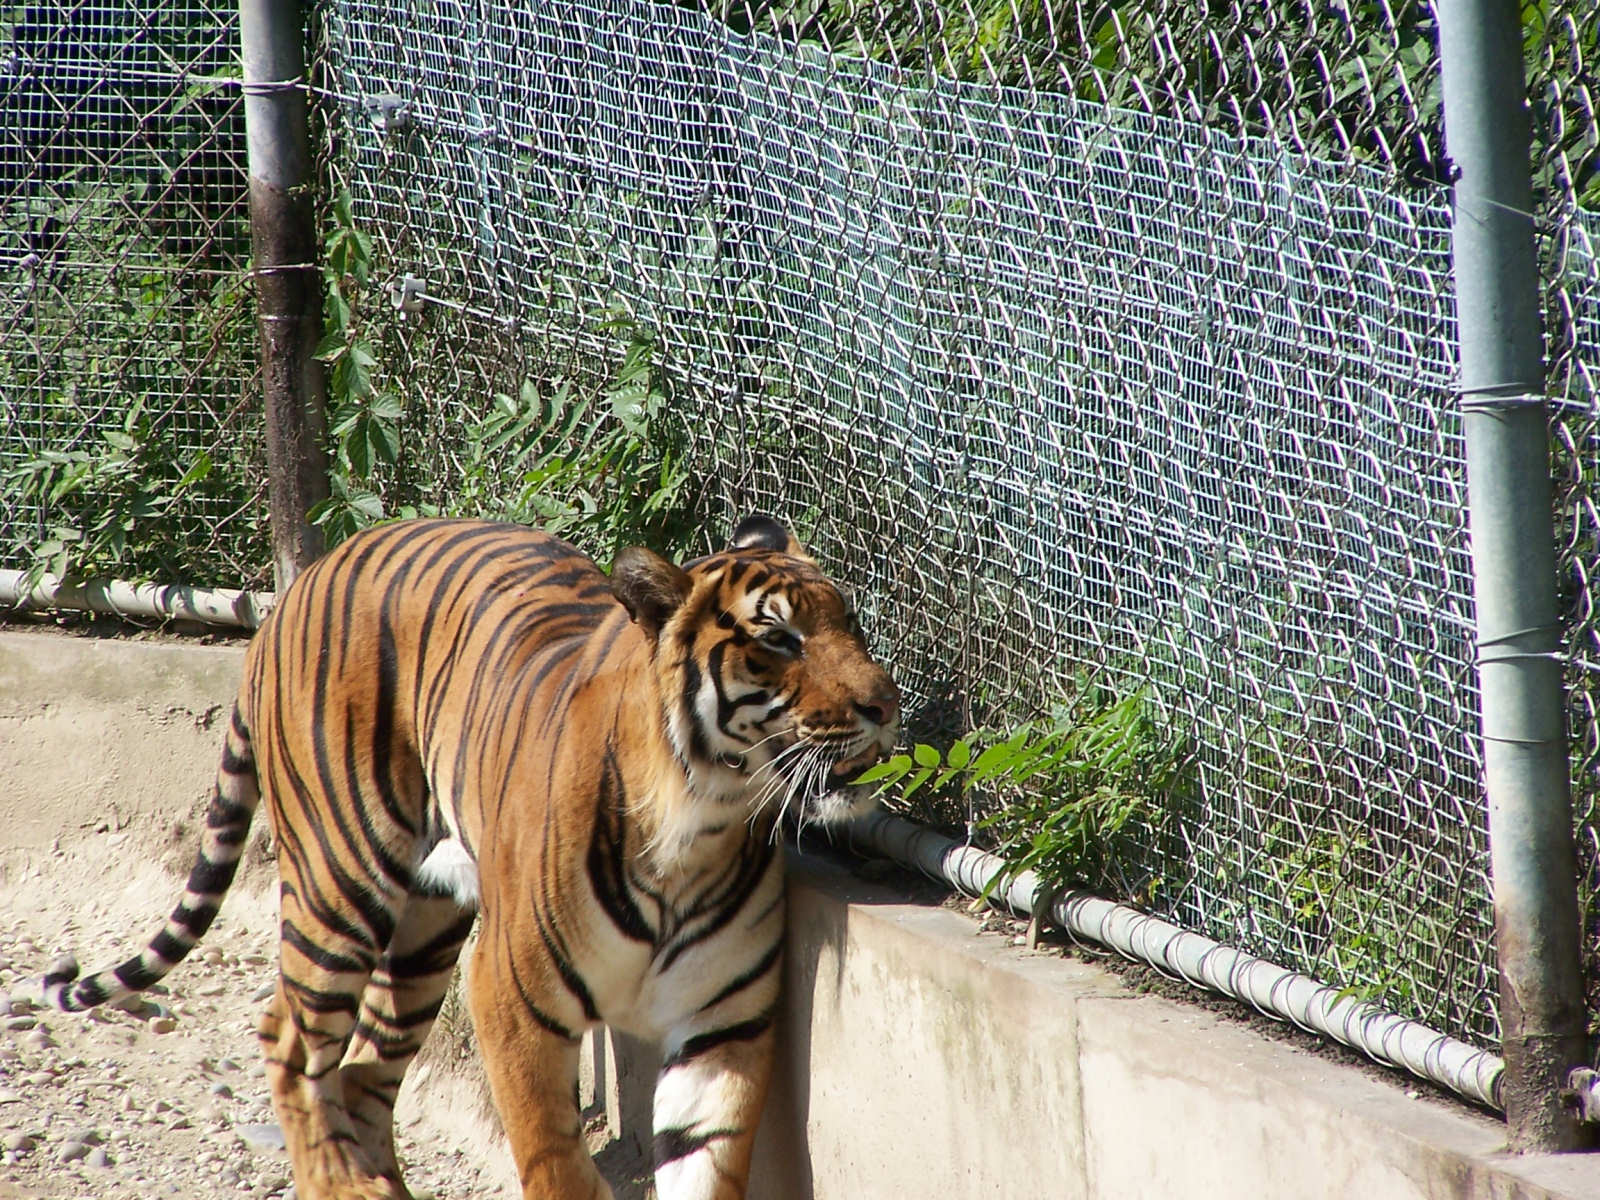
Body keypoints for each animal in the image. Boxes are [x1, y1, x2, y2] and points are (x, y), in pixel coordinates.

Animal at [40, 518, 902, 1200]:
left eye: (852, 625)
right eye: (779, 639)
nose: (885, 704)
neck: (700, 825)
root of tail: (299, 585)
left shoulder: (723, 1024)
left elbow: (704, 1164)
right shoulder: (511, 993)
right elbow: (554, 1157)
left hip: (426, 934)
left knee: (360, 1070)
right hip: (340, 881)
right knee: (290, 1036)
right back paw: (340, 1183)